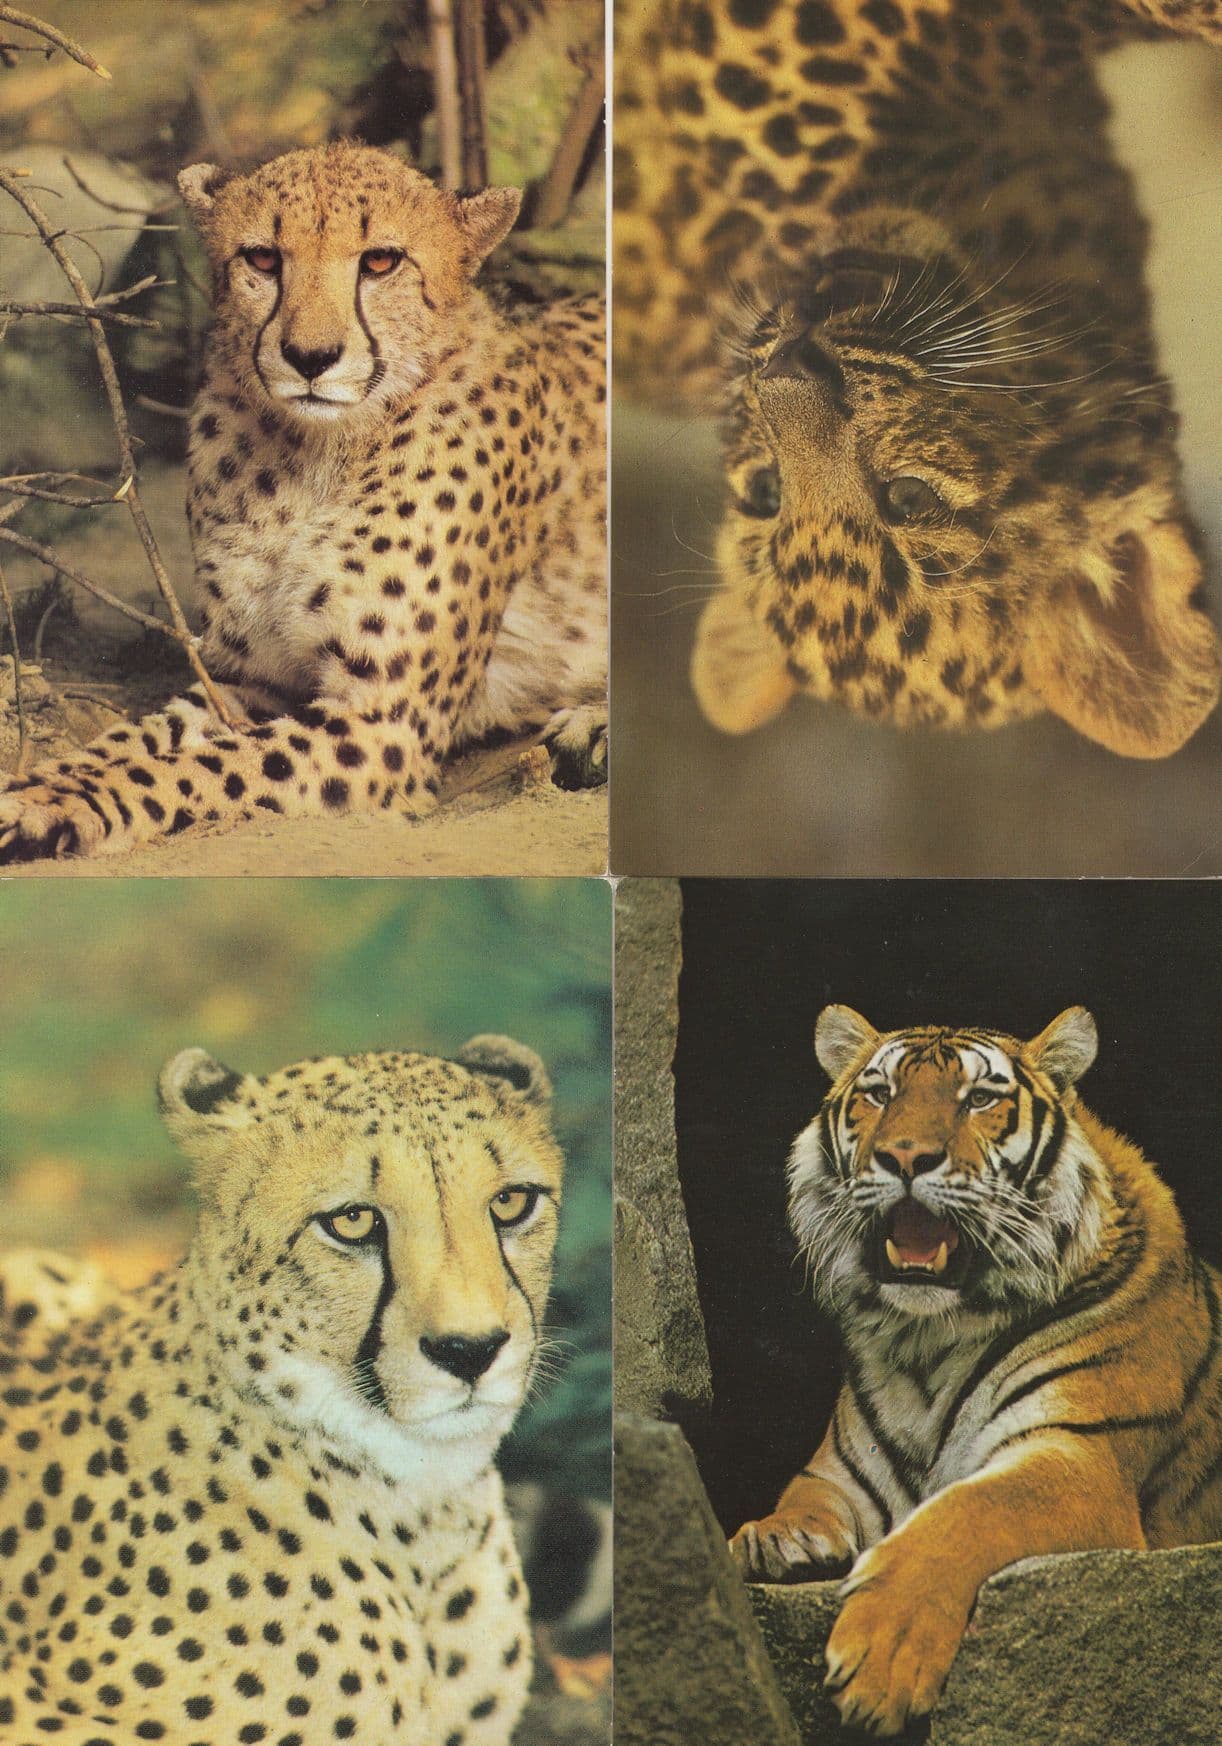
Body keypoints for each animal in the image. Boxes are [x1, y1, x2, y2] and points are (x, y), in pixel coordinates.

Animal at [0, 141, 606, 864]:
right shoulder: (245, 675)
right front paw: (46, 780)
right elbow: (139, 739)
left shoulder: (382, 720)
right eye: (263, 259)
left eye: (380, 261)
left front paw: (54, 803)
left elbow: (202, 766)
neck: (313, 458)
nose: (310, 357)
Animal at [729, 1003, 1221, 1736]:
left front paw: (880, 1661)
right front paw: (774, 1540)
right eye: (879, 1094)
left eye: (980, 1099)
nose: (905, 1157)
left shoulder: (1078, 1459)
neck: (929, 1337)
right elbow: (800, 1498)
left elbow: (967, 1513)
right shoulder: (840, 1474)